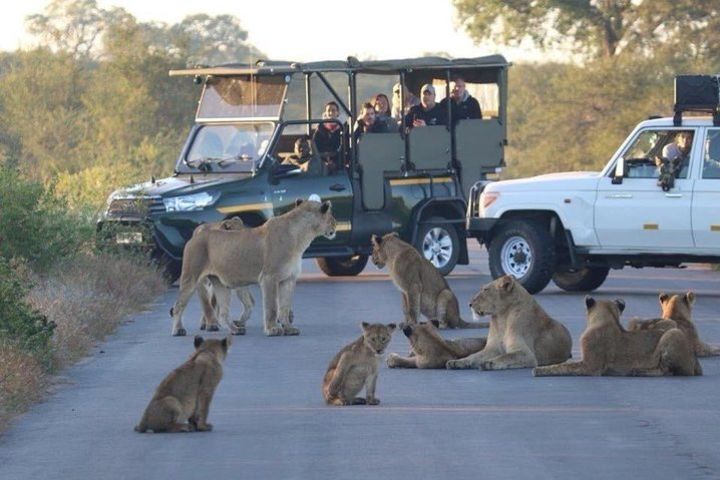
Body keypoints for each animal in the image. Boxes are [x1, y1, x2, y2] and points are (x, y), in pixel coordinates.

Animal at [170, 199, 336, 338]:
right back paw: (178, 330)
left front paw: (289, 328)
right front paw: (272, 329)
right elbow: (272, 307)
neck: (301, 237)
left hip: (220, 284)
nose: (335, 226)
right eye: (331, 216)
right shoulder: (269, 278)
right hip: (191, 277)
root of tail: (195, 236)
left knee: (223, 314)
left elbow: (284, 306)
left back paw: (236, 329)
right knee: (179, 306)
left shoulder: (289, 279)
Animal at [532, 294, 700, 376]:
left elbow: (563, 367)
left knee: (668, 371)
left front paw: (538, 370)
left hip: (673, 333)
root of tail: (697, 363)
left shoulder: (591, 367)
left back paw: (639, 371)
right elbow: (565, 364)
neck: (608, 319)